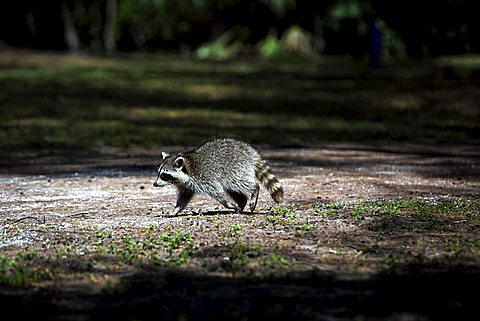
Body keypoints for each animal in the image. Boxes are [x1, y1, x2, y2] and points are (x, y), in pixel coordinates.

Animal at [152, 136, 284, 216]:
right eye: (159, 173)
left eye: (164, 175)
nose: (154, 184)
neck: (186, 168)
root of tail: (250, 153)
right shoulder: (186, 186)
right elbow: (183, 198)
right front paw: (175, 210)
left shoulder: (204, 178)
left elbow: (218, 192)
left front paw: (227, 204)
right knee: (234, 190)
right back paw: (241, 203)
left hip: (235, 168)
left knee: (240, 183)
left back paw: (254, 190)